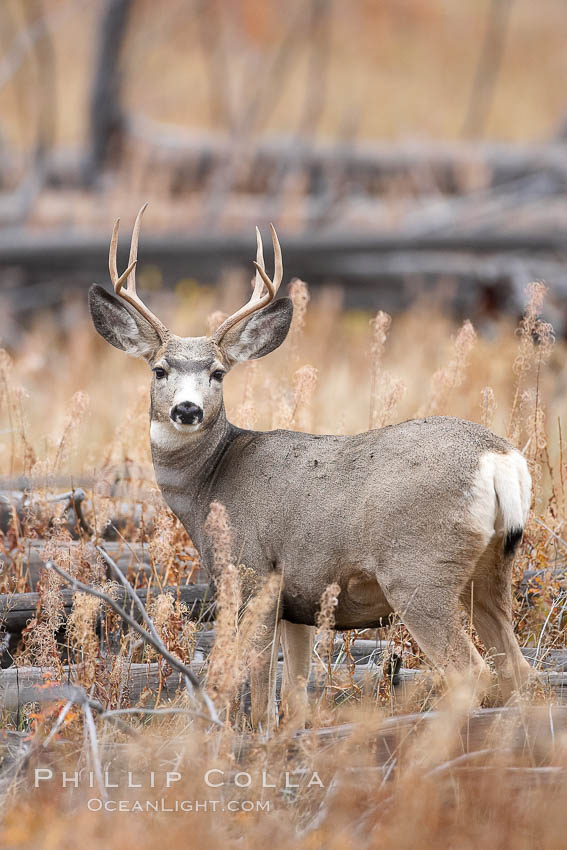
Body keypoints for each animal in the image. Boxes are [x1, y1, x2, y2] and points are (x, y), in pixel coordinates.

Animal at [89, 202, 532, 724]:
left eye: (218, 373)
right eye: (159, 370)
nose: (187, 410)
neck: (210, 486)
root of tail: (499, 458)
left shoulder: (253, 573)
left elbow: (259, 691)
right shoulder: (299, 599)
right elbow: (296, 694)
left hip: (419, 572)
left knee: (472, 673)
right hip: (492, 569)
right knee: (520, 671)